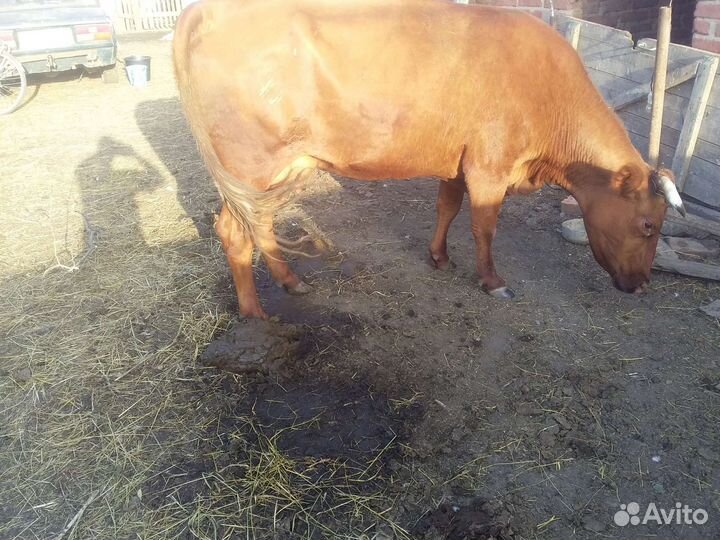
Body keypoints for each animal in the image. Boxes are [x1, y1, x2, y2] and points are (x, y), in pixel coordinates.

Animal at [173, 0, 685, 319]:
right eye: (649, 225)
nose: (642, 284)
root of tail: (200, 10)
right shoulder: (490, 166)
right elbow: (484, 226)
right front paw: (492, 280)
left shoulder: (457, 162)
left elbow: (447, 209)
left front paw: (438, 256)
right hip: (250, 164)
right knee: (235, 231)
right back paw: (254, 313)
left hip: (268, 172)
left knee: (256, 227)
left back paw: (288, 282)